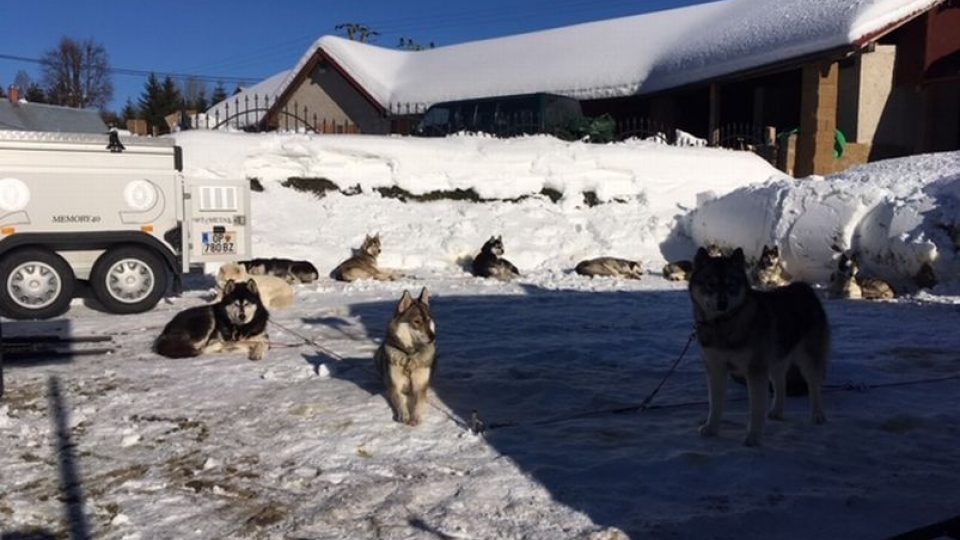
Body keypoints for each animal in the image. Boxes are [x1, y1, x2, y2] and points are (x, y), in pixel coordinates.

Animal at [374, 286, 436, 426]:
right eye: (417, 321)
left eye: (428, 320)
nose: (433, 337)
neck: (410, 355)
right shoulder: (395, 386)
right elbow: (400, 401)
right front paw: (404, 415)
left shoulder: (420, 386)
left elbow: (419, 403)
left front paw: (416, 417)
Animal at [688, 247, 828, 446]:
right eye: (710, 284)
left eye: (731, 284)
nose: (722, 304)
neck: (723, 325)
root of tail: (804, 288)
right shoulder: (715, 368)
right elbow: (715, 404)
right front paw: (712, 428)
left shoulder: (755, 371)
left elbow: (756, 408)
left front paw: (753, 436)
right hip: (777, 359)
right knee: (780, 383)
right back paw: (777, 411)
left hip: (808, 359)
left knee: (814, 386)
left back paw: (817, 415)